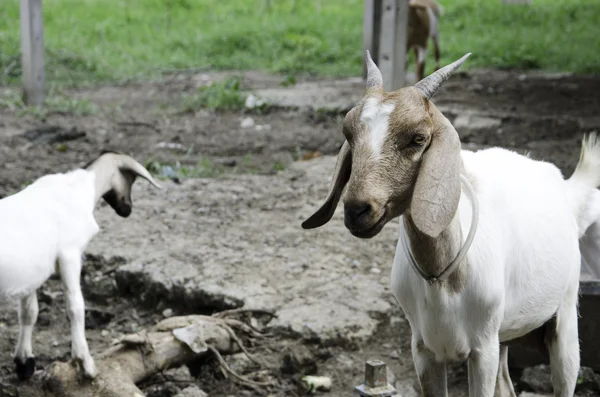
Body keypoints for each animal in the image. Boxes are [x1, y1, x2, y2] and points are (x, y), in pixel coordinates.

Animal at [0, 150, 162, 378]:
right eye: (131, 178)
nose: (127, 210)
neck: (78, 189)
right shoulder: (70, 254)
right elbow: (75, 306)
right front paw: (85, 362)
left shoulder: (31, 271)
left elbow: (29, 312)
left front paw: (24, 362)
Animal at [302, 51, 600, 394]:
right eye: (348, 134)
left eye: (418, 138)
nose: (357, 210)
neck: (441, 278)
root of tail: (563, 185)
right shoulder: (424, 349)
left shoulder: (482, 349)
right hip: (505, 334)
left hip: (564, 316)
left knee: (565, 372)